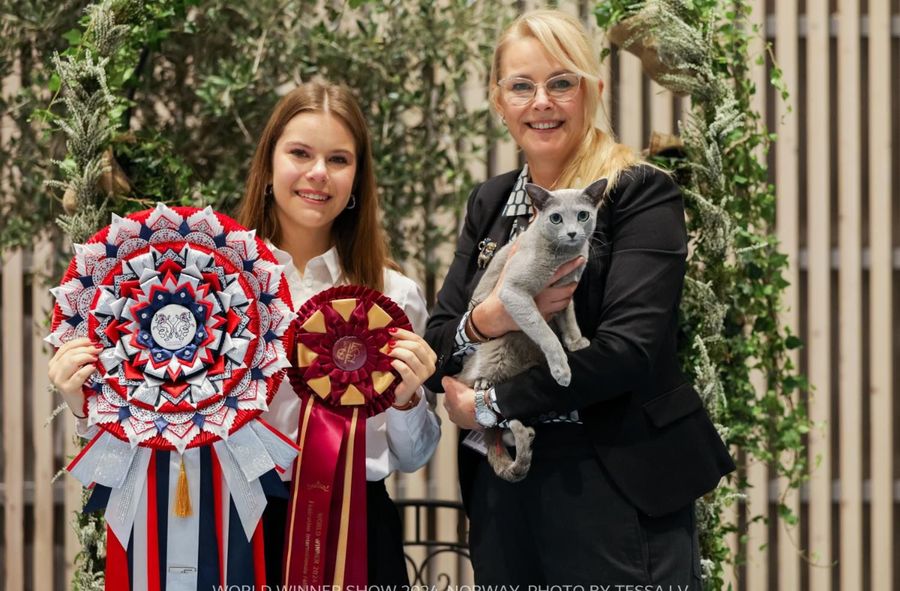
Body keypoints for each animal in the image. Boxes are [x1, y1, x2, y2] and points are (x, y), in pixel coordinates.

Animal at [460, 178, 608, 484]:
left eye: (583, 215)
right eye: (556, 218)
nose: (572, 232)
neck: (563, 259)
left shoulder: (566, 293)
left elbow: (569, 318)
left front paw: (576, 342)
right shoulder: (514, 293)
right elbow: (546, 333)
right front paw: (562, 370)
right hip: (497, 347)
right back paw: (483, 384)